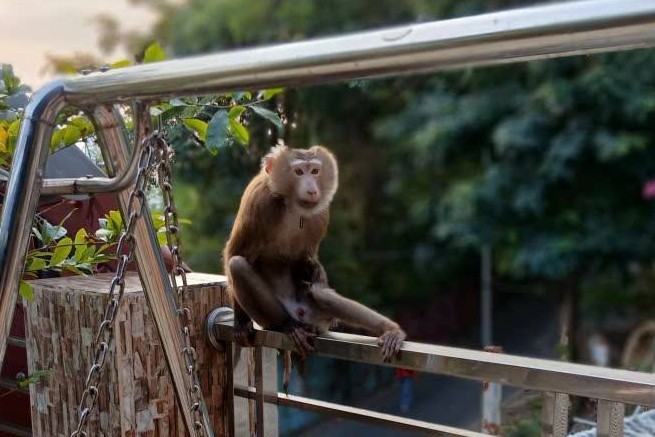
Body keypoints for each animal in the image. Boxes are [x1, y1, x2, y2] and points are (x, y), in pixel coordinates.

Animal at [223, 143, 406, 363]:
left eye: (315, 171)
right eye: (299, 172)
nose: (311, 189)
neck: (291, 204)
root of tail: (301, 314)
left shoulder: (321, 215)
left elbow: (307, 260)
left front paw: (312, 270)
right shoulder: (259, 203)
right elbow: (236, 252)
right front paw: (241, 322)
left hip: (316, 315)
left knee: (321, 295)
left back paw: (391, 330)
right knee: (238, 265)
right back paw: (288, 326)